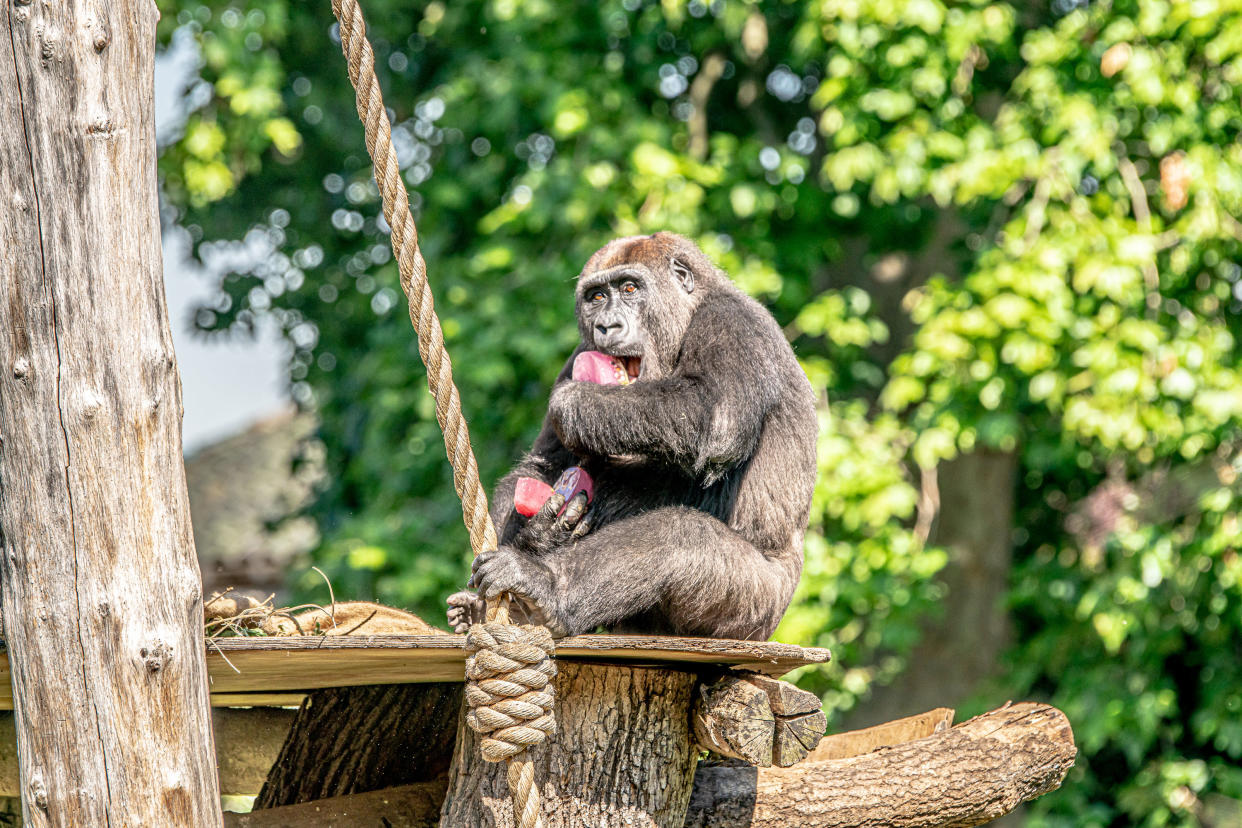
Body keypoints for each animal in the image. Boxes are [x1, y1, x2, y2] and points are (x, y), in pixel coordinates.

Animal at [447, 233, 814, 640]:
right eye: (595, 297)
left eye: (629, 288)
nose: (606, 326)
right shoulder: (580, 352)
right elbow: (539, 468)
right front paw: (540, 531)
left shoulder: (733, 322)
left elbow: (714, 416)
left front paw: (574, 403)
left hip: (760, 608)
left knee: (680, 537)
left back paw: (545, 588)